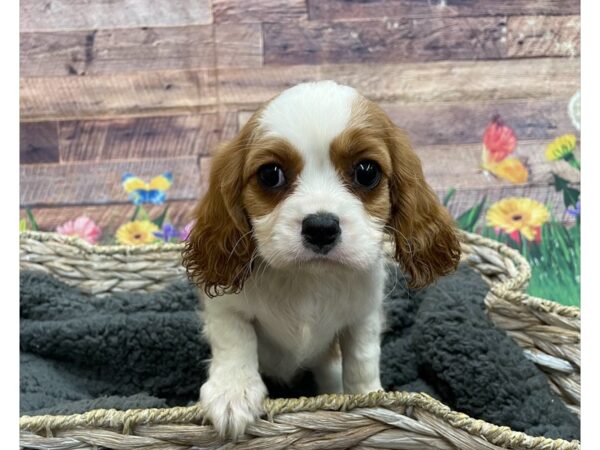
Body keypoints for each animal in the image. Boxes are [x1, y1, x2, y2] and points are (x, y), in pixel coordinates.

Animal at [182, 80, 460, 436]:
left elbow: (361, 359)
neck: (309, 278)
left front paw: (367, 399)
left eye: (366, 172)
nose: (321, 228)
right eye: (270, 174)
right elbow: (235, 340)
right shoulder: (226, 308)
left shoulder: (363, 316)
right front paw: (233, 392)